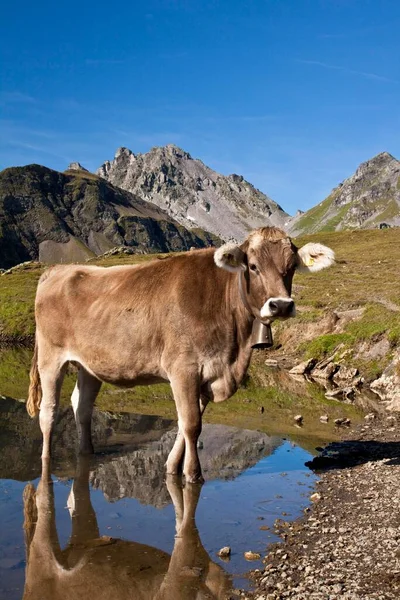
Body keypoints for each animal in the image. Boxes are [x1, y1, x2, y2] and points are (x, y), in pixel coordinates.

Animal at [27, 225, 334, 482]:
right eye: (253, 266)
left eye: (291, 267)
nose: (280, 305)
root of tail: (58, 271)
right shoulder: (183, 368)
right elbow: (192, 425)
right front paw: (192, 474)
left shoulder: (207, 371)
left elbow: (186, 421)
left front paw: (172, 467)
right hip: (51, 358)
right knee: (48, 411)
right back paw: (45, 459)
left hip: (89, 364)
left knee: (81, 406)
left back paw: (86, 452)